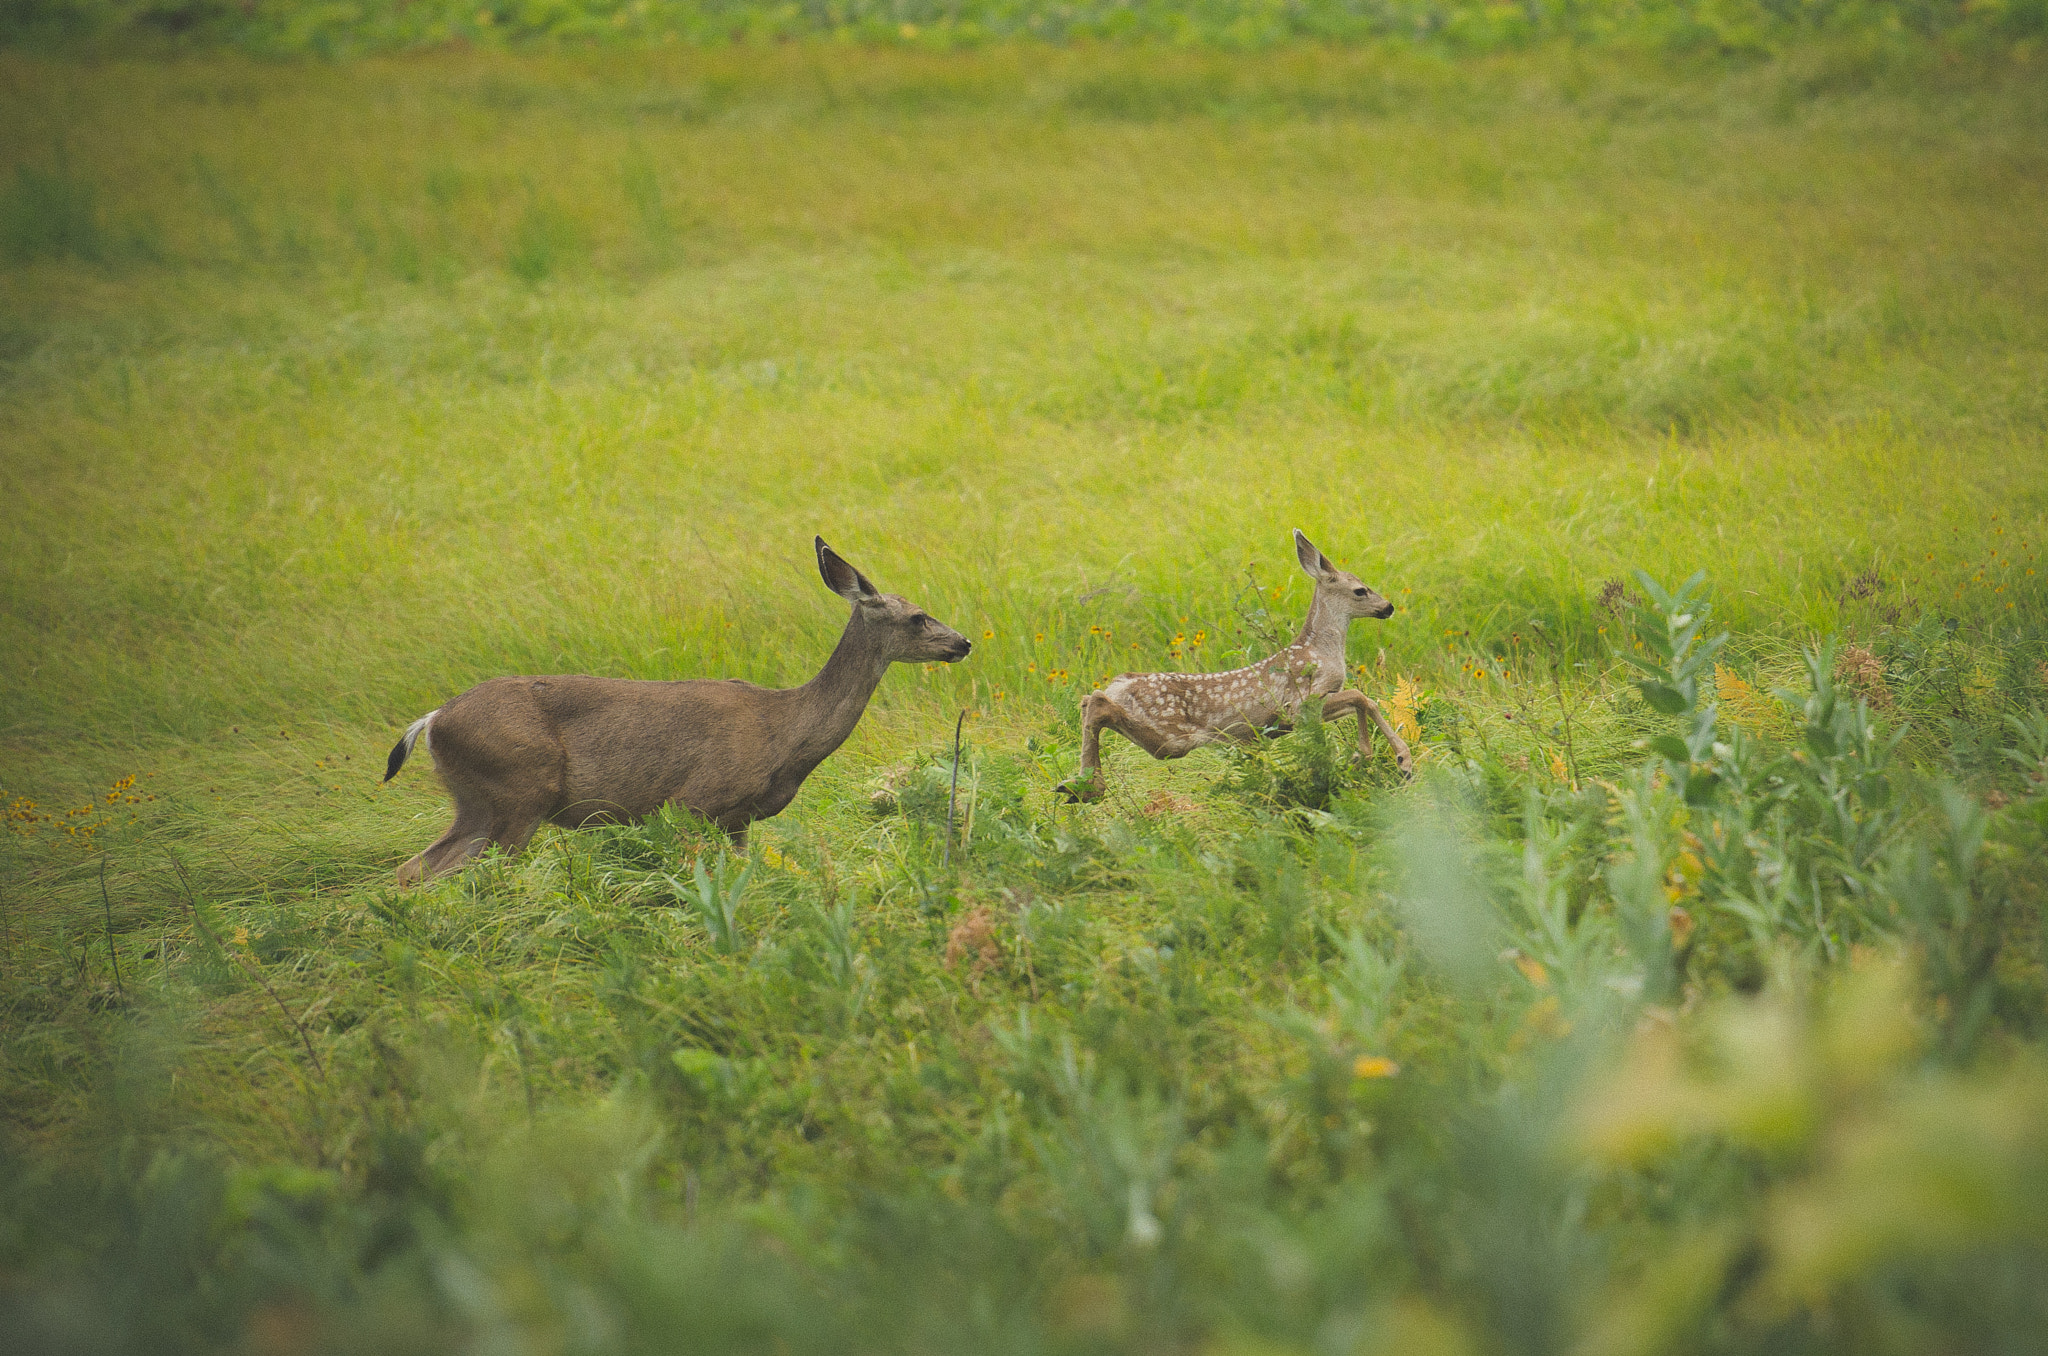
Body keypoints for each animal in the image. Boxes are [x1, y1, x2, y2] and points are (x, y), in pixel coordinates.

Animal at [382, 537, 972, 883]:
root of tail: (432, 721)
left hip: (478, 802)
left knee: (415, 869)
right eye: (918, 616)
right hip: (519, 789)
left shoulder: (738, 821)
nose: (964, 642)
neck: (783, 732)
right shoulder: (694, 800)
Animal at [1056, 530, 1412, 803]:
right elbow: (1362, 698)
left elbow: (1359, 703)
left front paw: (1367, 756)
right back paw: (1088, 787)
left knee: (1089, 701)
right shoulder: (1300, 702)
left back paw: (1077, 786)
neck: (1320, 649)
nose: (1389, 607)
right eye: (1360, 590)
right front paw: (1398, 759)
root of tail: (1121, 683)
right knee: (1096, 703)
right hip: (1170, 736)